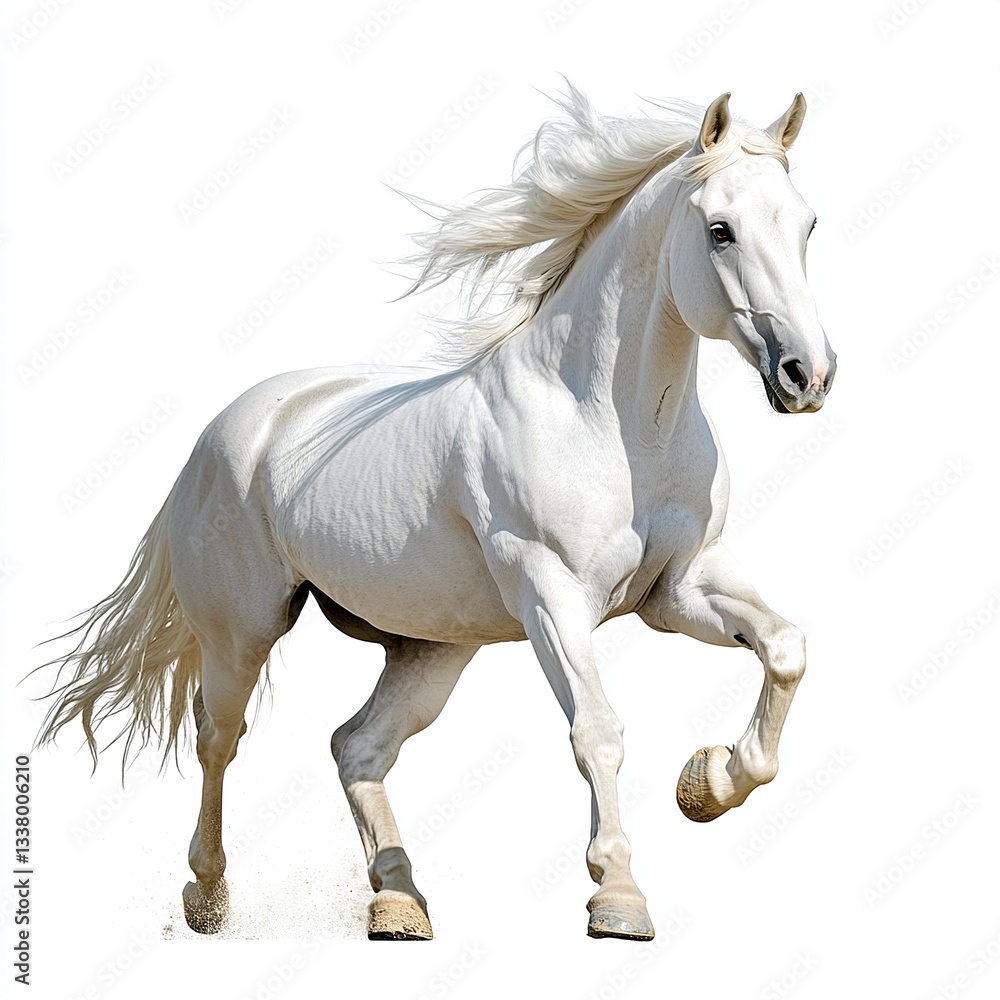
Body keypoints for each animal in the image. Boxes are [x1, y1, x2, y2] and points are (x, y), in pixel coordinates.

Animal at [37, 86, 836, 941]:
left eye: (806, 223)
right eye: (720, 230)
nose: (809, 375)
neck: (610, 421)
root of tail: (220, 435)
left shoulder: (677, 589)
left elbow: (785, 648)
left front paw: (709, 783)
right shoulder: (553, 596)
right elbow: (598, 729)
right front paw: (618, 897)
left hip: (432, 648)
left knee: (357, 746)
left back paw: (398, 903)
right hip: (243, 632)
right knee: (219, 737)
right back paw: (209, 895)